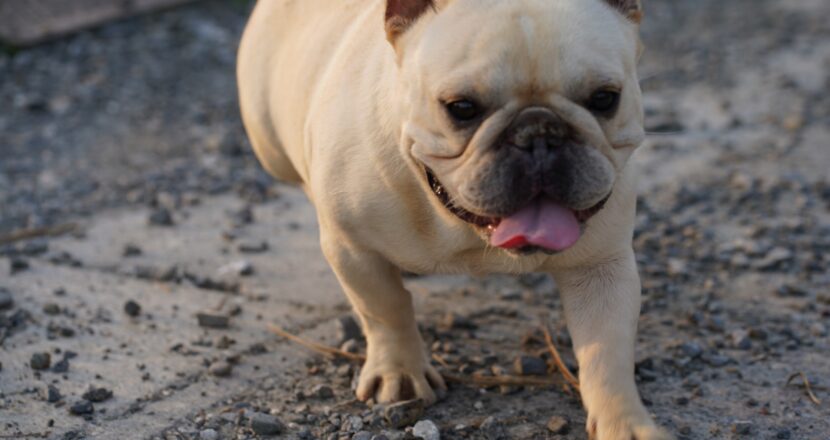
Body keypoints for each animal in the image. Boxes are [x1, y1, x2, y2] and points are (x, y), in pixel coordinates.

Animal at [239, 0, 676, 438]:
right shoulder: (353, 249)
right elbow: (384, 308)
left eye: (604, 99)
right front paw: (399, 372)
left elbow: (606, 353)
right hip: (270, 148)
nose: (539, 132)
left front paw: (624, 421)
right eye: (462, 108)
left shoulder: (602, 268)